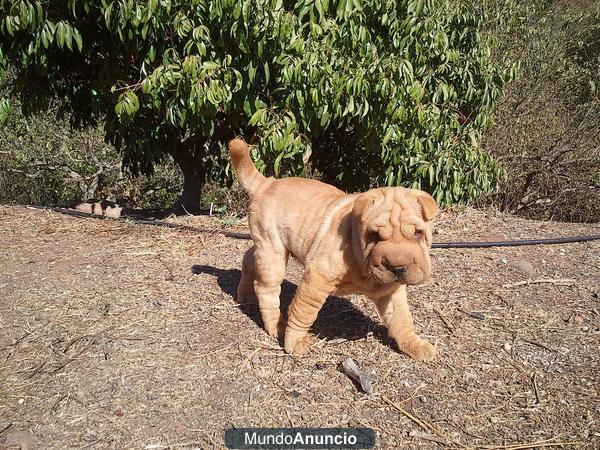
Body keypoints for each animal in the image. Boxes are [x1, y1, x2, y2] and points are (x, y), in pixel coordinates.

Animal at [230, 139, 440, 360]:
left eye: (418, 233)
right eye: (374, 235)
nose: (398, 267)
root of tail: (266, 183)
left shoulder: (390, 291)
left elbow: (402, 320)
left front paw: (415, 345)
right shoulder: (316, 279)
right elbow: (303, 312)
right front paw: (294, 342)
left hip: (266, 246)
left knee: (249, 259)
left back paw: (244, 295)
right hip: (274, 252)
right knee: (266, 287)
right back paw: (276, 325)